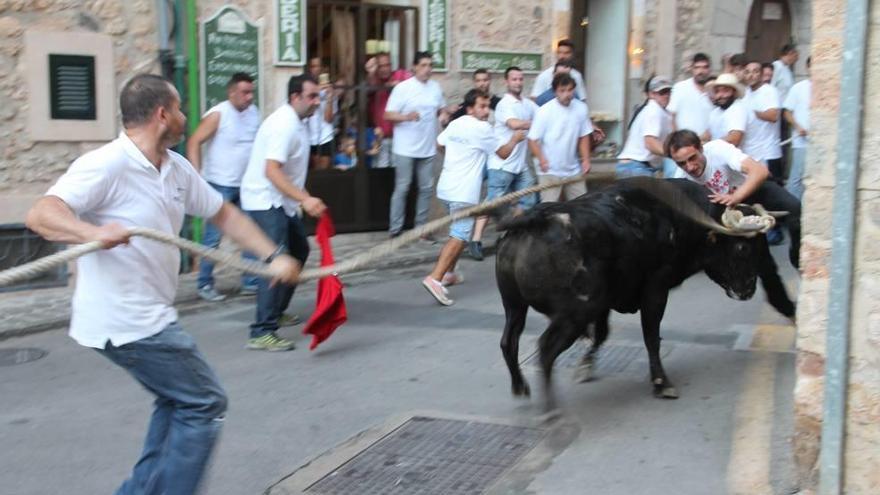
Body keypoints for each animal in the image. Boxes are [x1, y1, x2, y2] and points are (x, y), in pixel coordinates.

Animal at [496, 178, 796, 404]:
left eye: (761, 246)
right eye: (742, 247)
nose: (749, 288)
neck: (679, 218)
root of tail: (537, 219)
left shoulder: (606, 302)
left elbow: (603, 334)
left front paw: (586, 366)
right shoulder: (655, 290)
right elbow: (651, 337)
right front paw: (661, 383)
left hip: (515, 306)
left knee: (509, 342)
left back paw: (520, 386)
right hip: (574, 314)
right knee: (545, 350)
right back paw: (550, 410)